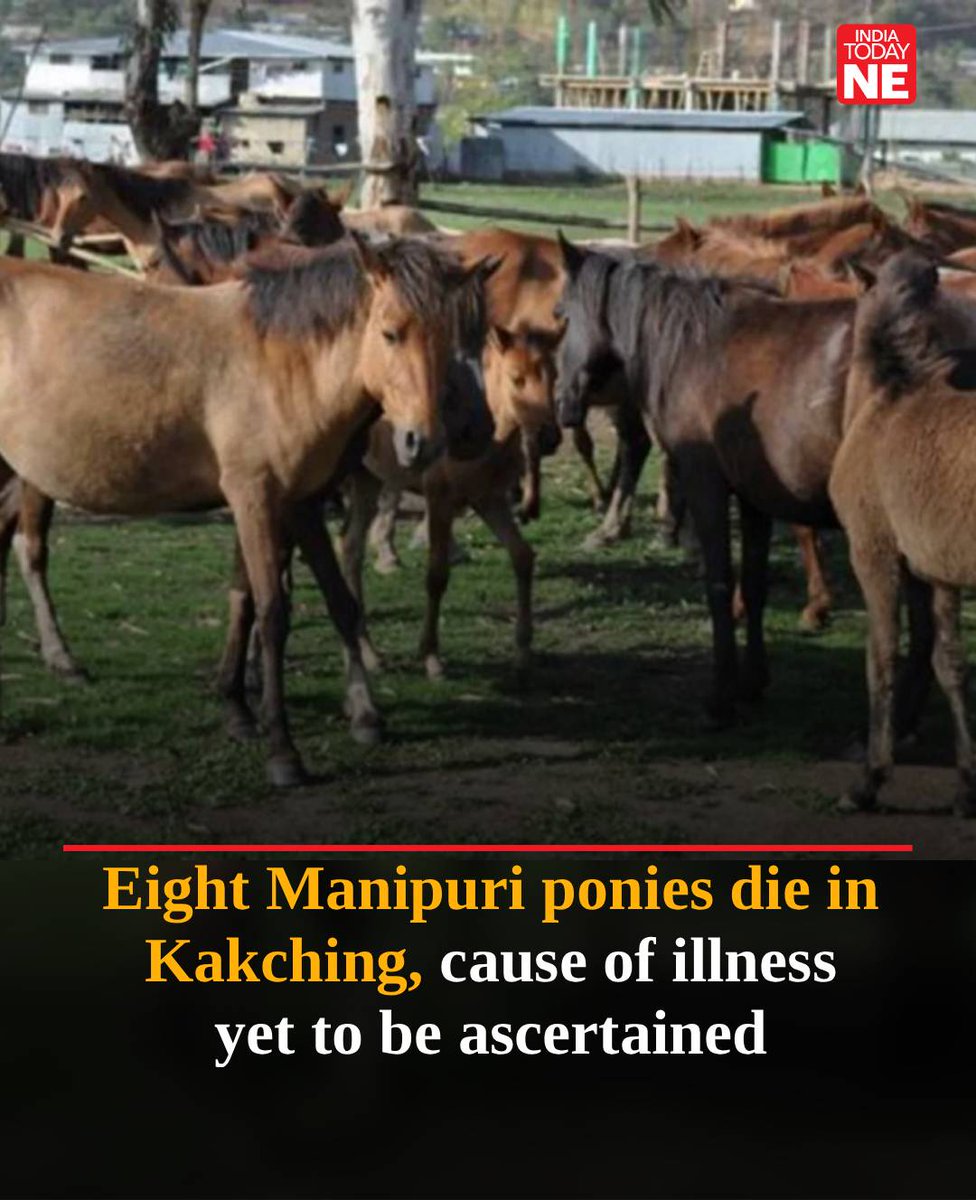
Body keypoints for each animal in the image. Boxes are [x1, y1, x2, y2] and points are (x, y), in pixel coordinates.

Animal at [0, 235, 487, 785]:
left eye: (448, 339)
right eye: (390, 333)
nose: (422, 442)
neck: (284, 362)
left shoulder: (299, 502)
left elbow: (332, 602)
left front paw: (360, 714)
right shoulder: (254, 496)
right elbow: (271, 613)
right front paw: (282, 749)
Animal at [339, 323, 562, 680]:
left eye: (554, 375)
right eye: (517, 378)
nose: (549, 437)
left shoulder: (488, 499)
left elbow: (523, 556)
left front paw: (524, 650)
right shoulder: (440, 499)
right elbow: (437, 575)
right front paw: (431, 656)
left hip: (367, 480)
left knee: (350, 547)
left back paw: (367, 654)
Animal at [830, 252, 976, 815]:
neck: (886, 398)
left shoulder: (872, 554)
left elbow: (882, 655)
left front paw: (869, 780)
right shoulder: (937, 572)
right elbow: (948, 662)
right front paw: (965, 786)